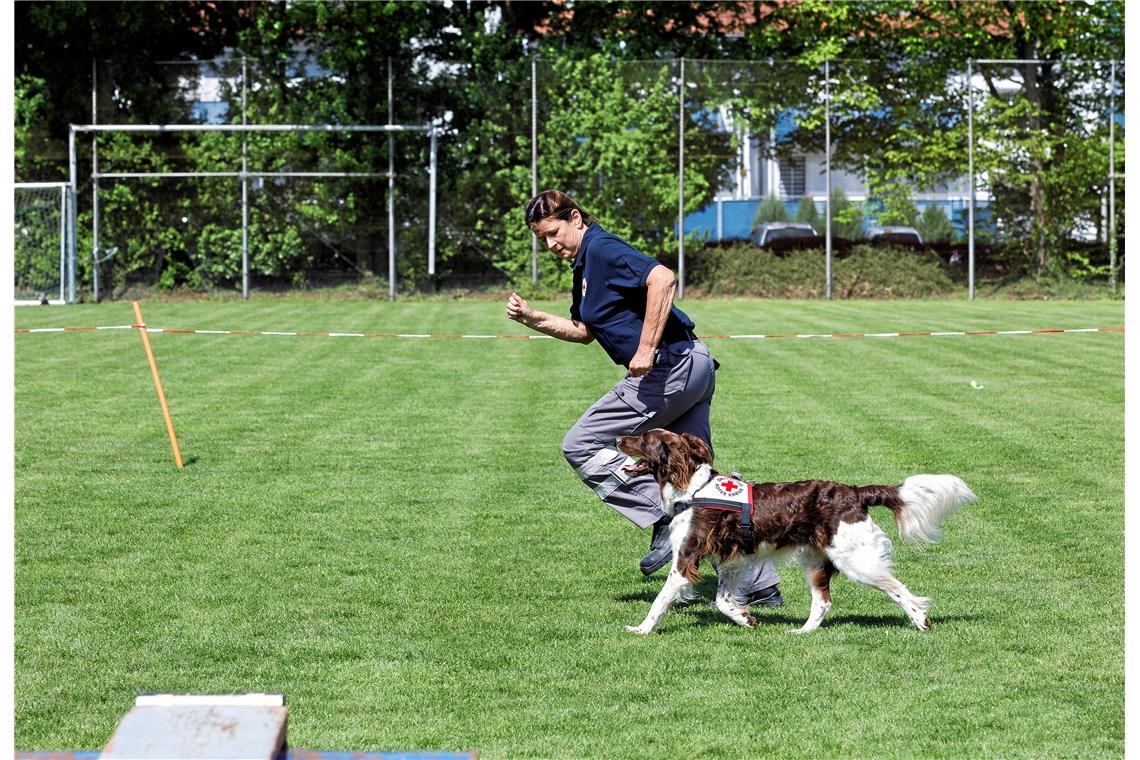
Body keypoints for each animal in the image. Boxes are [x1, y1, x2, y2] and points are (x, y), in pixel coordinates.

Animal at [615, 428, 971, 638]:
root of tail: (855, 493)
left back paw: (920, 620)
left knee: (897, 587)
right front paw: (745, 618)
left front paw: (641, 629)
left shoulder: (686, 558)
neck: (692, 488)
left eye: (643, 439)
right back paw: (802, 632)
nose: (618, 439)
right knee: (823, 602)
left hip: (855, 560)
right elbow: (723, 601)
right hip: (815, 560)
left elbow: (660, 600)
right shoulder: (732, 561)